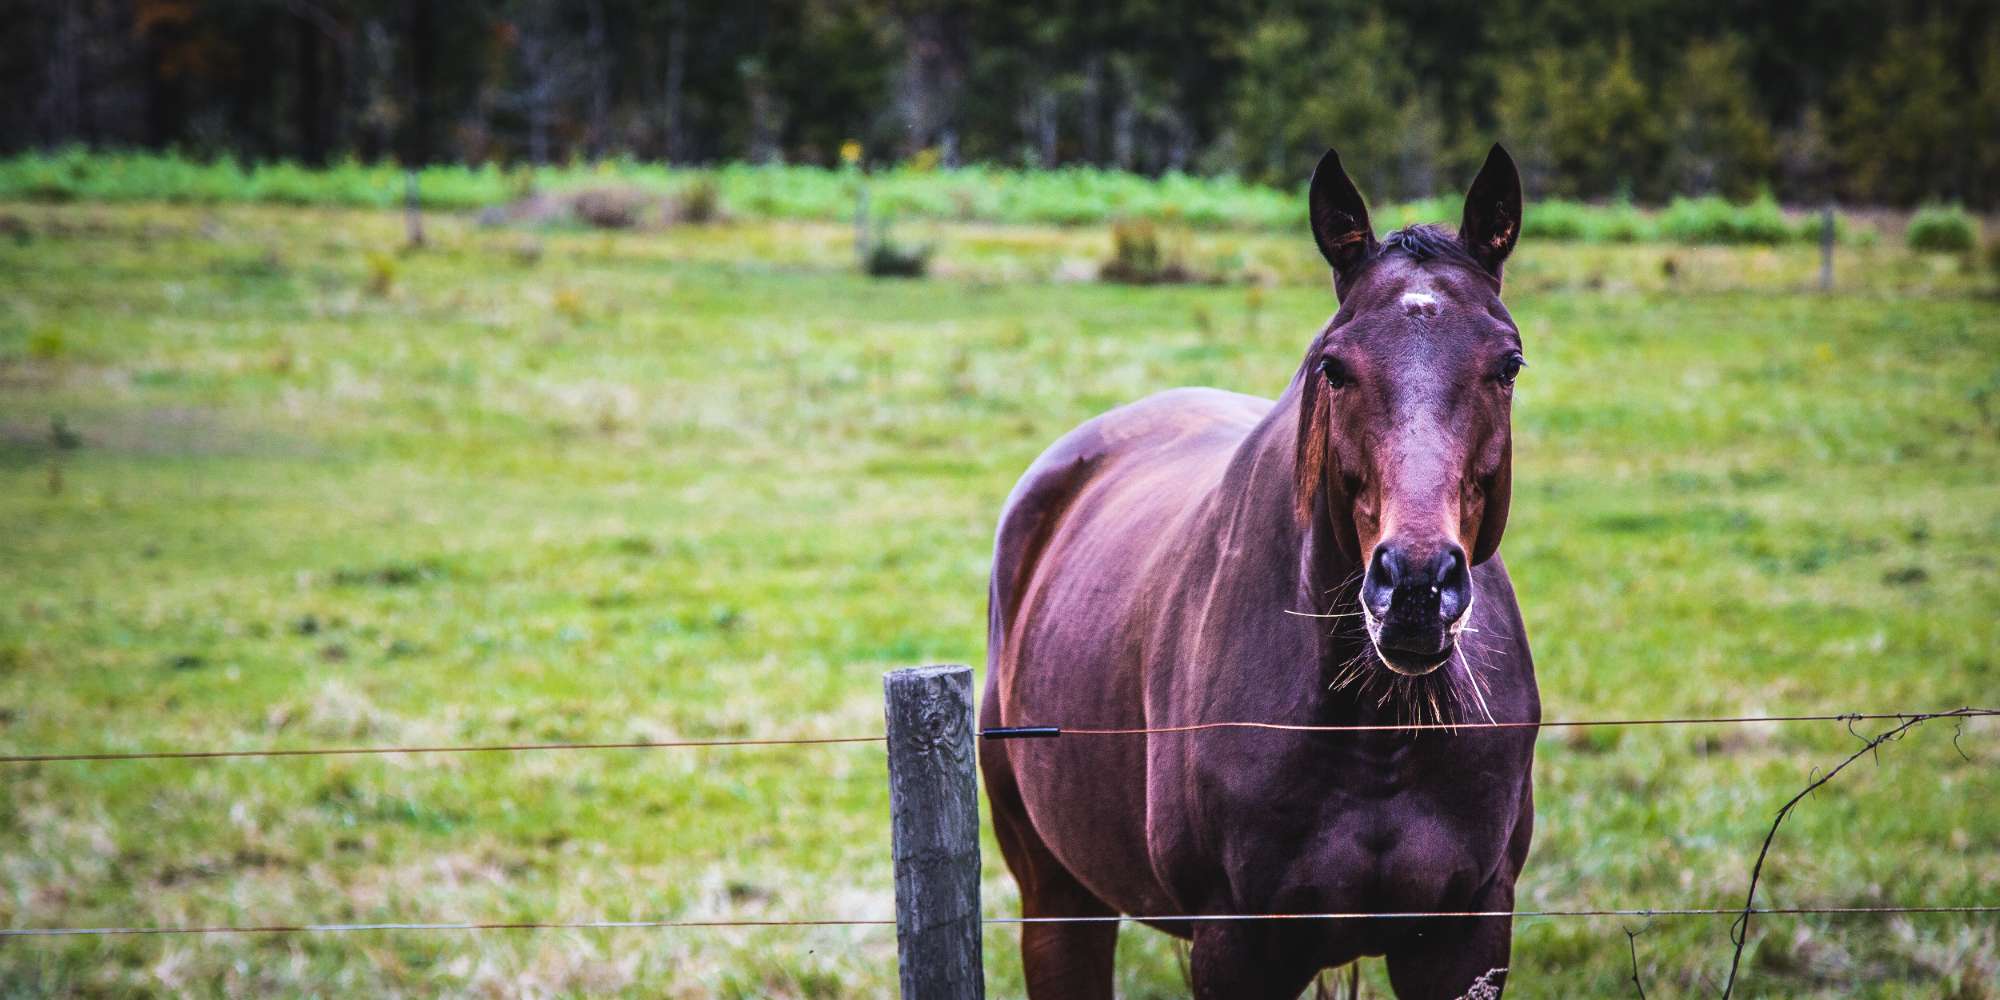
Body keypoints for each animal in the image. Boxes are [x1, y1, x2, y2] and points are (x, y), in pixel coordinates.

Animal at [980, 145, 1540, 999]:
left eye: (1507, 364)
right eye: (1334, 367)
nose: (1415, 589)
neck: (1376, 735)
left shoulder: (1466, 937)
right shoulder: (1235, 945)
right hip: (1058, 897)